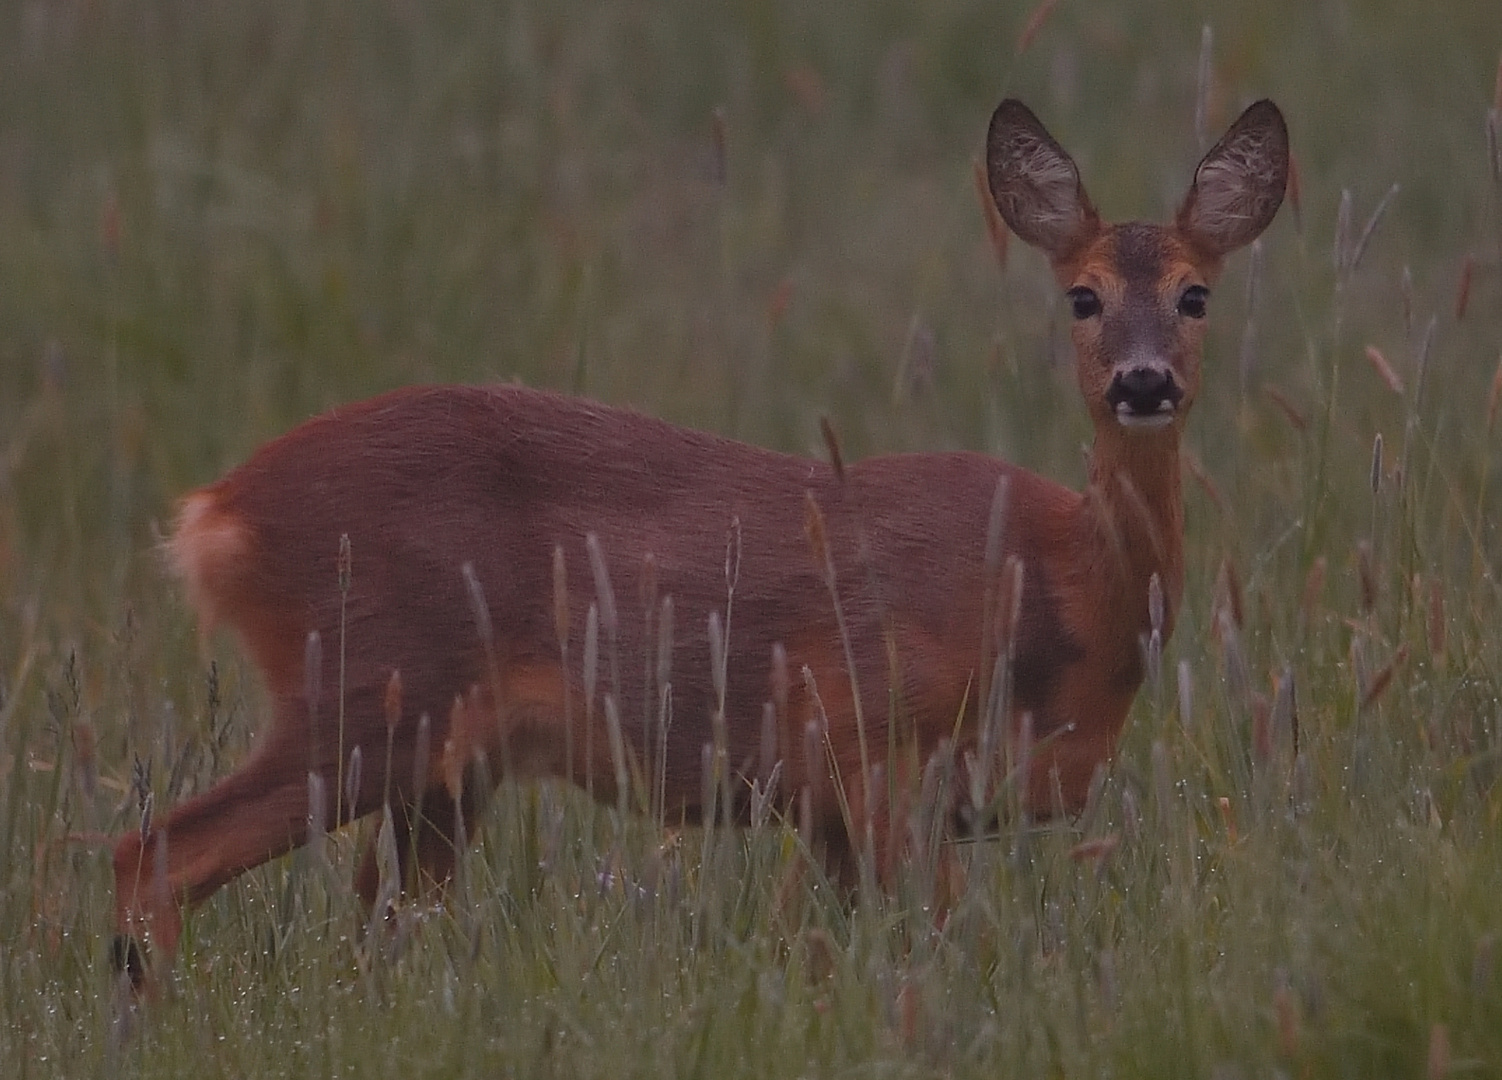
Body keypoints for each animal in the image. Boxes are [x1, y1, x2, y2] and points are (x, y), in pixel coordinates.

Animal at [111, 99, 1285, 991]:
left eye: (1195, 294)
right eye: (1081, 296)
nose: (1143, 381)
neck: (1061, 586)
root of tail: (216, 513)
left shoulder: (850, 802)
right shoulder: (868, 742)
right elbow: (942, 951)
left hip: (438, 762)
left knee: (378, 925)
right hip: (366, 694)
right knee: (152, 855)